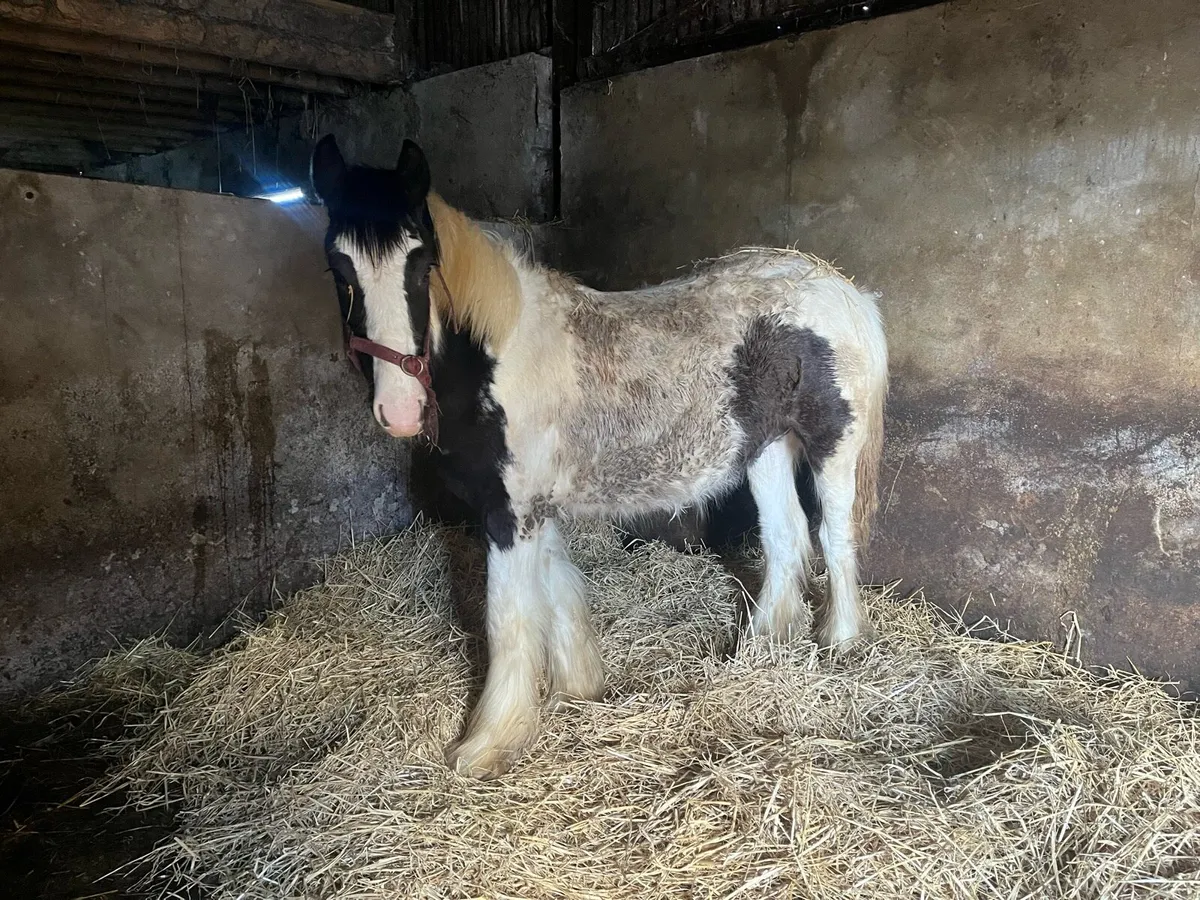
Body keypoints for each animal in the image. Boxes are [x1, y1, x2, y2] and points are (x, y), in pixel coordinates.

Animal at [310, 135, 890, 779]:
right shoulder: (532, 507)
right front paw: (578, 689)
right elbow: (558, 590)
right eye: (338, 268)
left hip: (833, 447)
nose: (400, 409)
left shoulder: (509, 513)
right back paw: (760, 650)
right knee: (787, 539)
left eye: (421, 262)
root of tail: (844, 290)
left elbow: (508, 619)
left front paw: (487, 745)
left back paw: (841, 643)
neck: (498, 357)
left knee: (834, 536)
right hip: (765, 449)